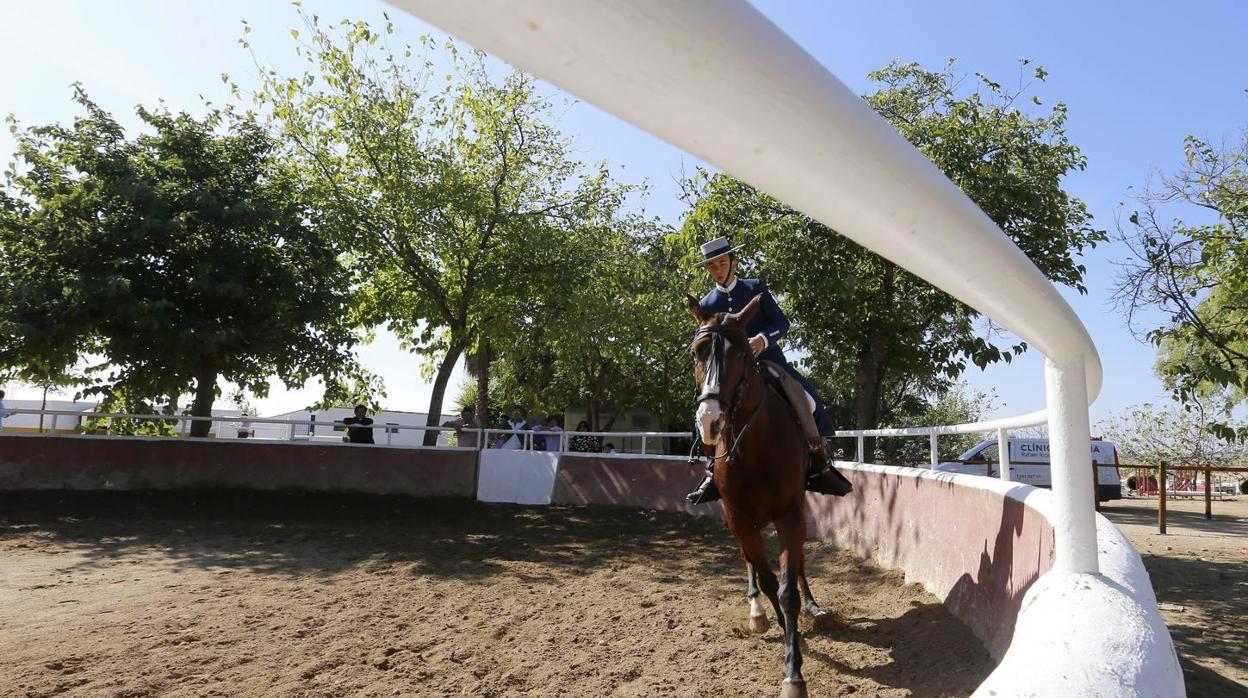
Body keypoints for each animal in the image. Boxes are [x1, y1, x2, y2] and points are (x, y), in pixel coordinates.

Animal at [688, 293, 823, 698]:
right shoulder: (738, 516)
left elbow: (788, 586)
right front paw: (781, 629)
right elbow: (766, 579)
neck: (754, 446)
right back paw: (757, 612)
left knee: (798, 563)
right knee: (749, 562)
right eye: (697, 352)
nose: (710, 422)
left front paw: (794, 672)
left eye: (741, 354)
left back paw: (813, 606)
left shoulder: (790, 513)